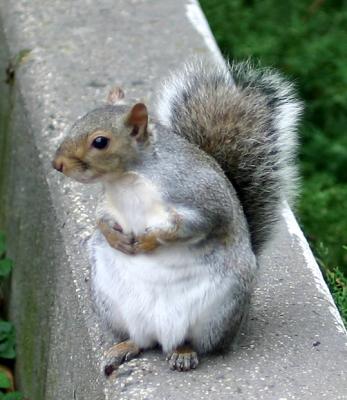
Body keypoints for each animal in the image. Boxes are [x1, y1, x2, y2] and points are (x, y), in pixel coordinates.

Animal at [51, 58, 302, 372]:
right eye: (76, 122)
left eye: (100, 142)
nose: (57, 164)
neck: (128, 178)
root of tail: (161, 334)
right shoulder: (109, 202)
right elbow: (100, 219)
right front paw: (114, 238)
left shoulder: (198, 196)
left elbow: (191, 226)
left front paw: (148, 241)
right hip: (110, 303)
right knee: (139, 340)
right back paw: (123, 347)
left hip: (218, 312)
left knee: (194, 342)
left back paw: (183, 352)